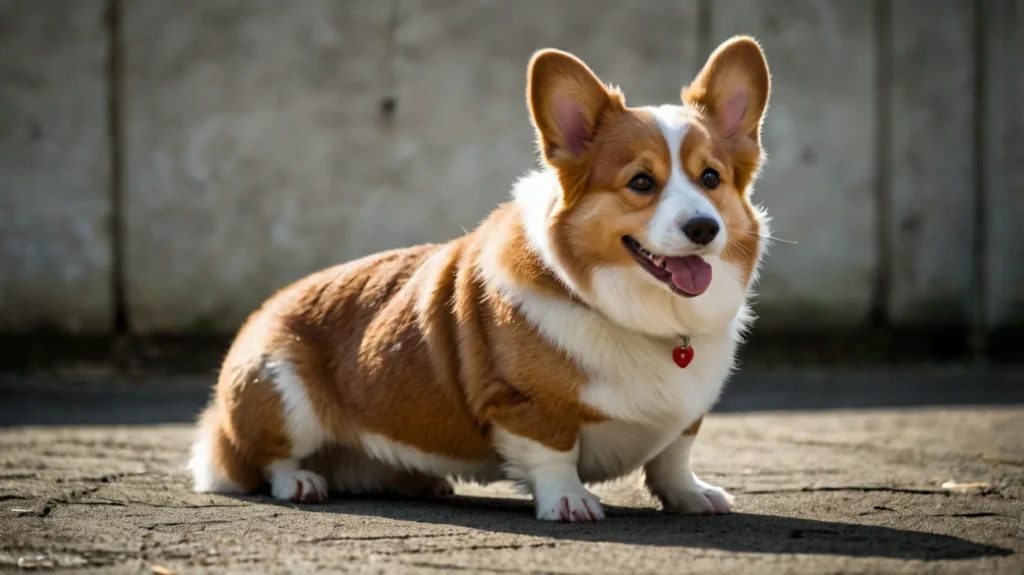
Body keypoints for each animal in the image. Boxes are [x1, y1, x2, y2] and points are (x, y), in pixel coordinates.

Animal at [190, 35, 770, 519]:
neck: (643, 314)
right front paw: (569, 501)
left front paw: (691, 495)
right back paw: (302, 482)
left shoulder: (688, 415)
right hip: (285, 392)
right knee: (269, 460)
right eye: (642, 182)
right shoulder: (521, 404)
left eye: (711, 178)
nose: (704, 227)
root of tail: (262, 311)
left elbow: (674, 456)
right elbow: (555, 453)